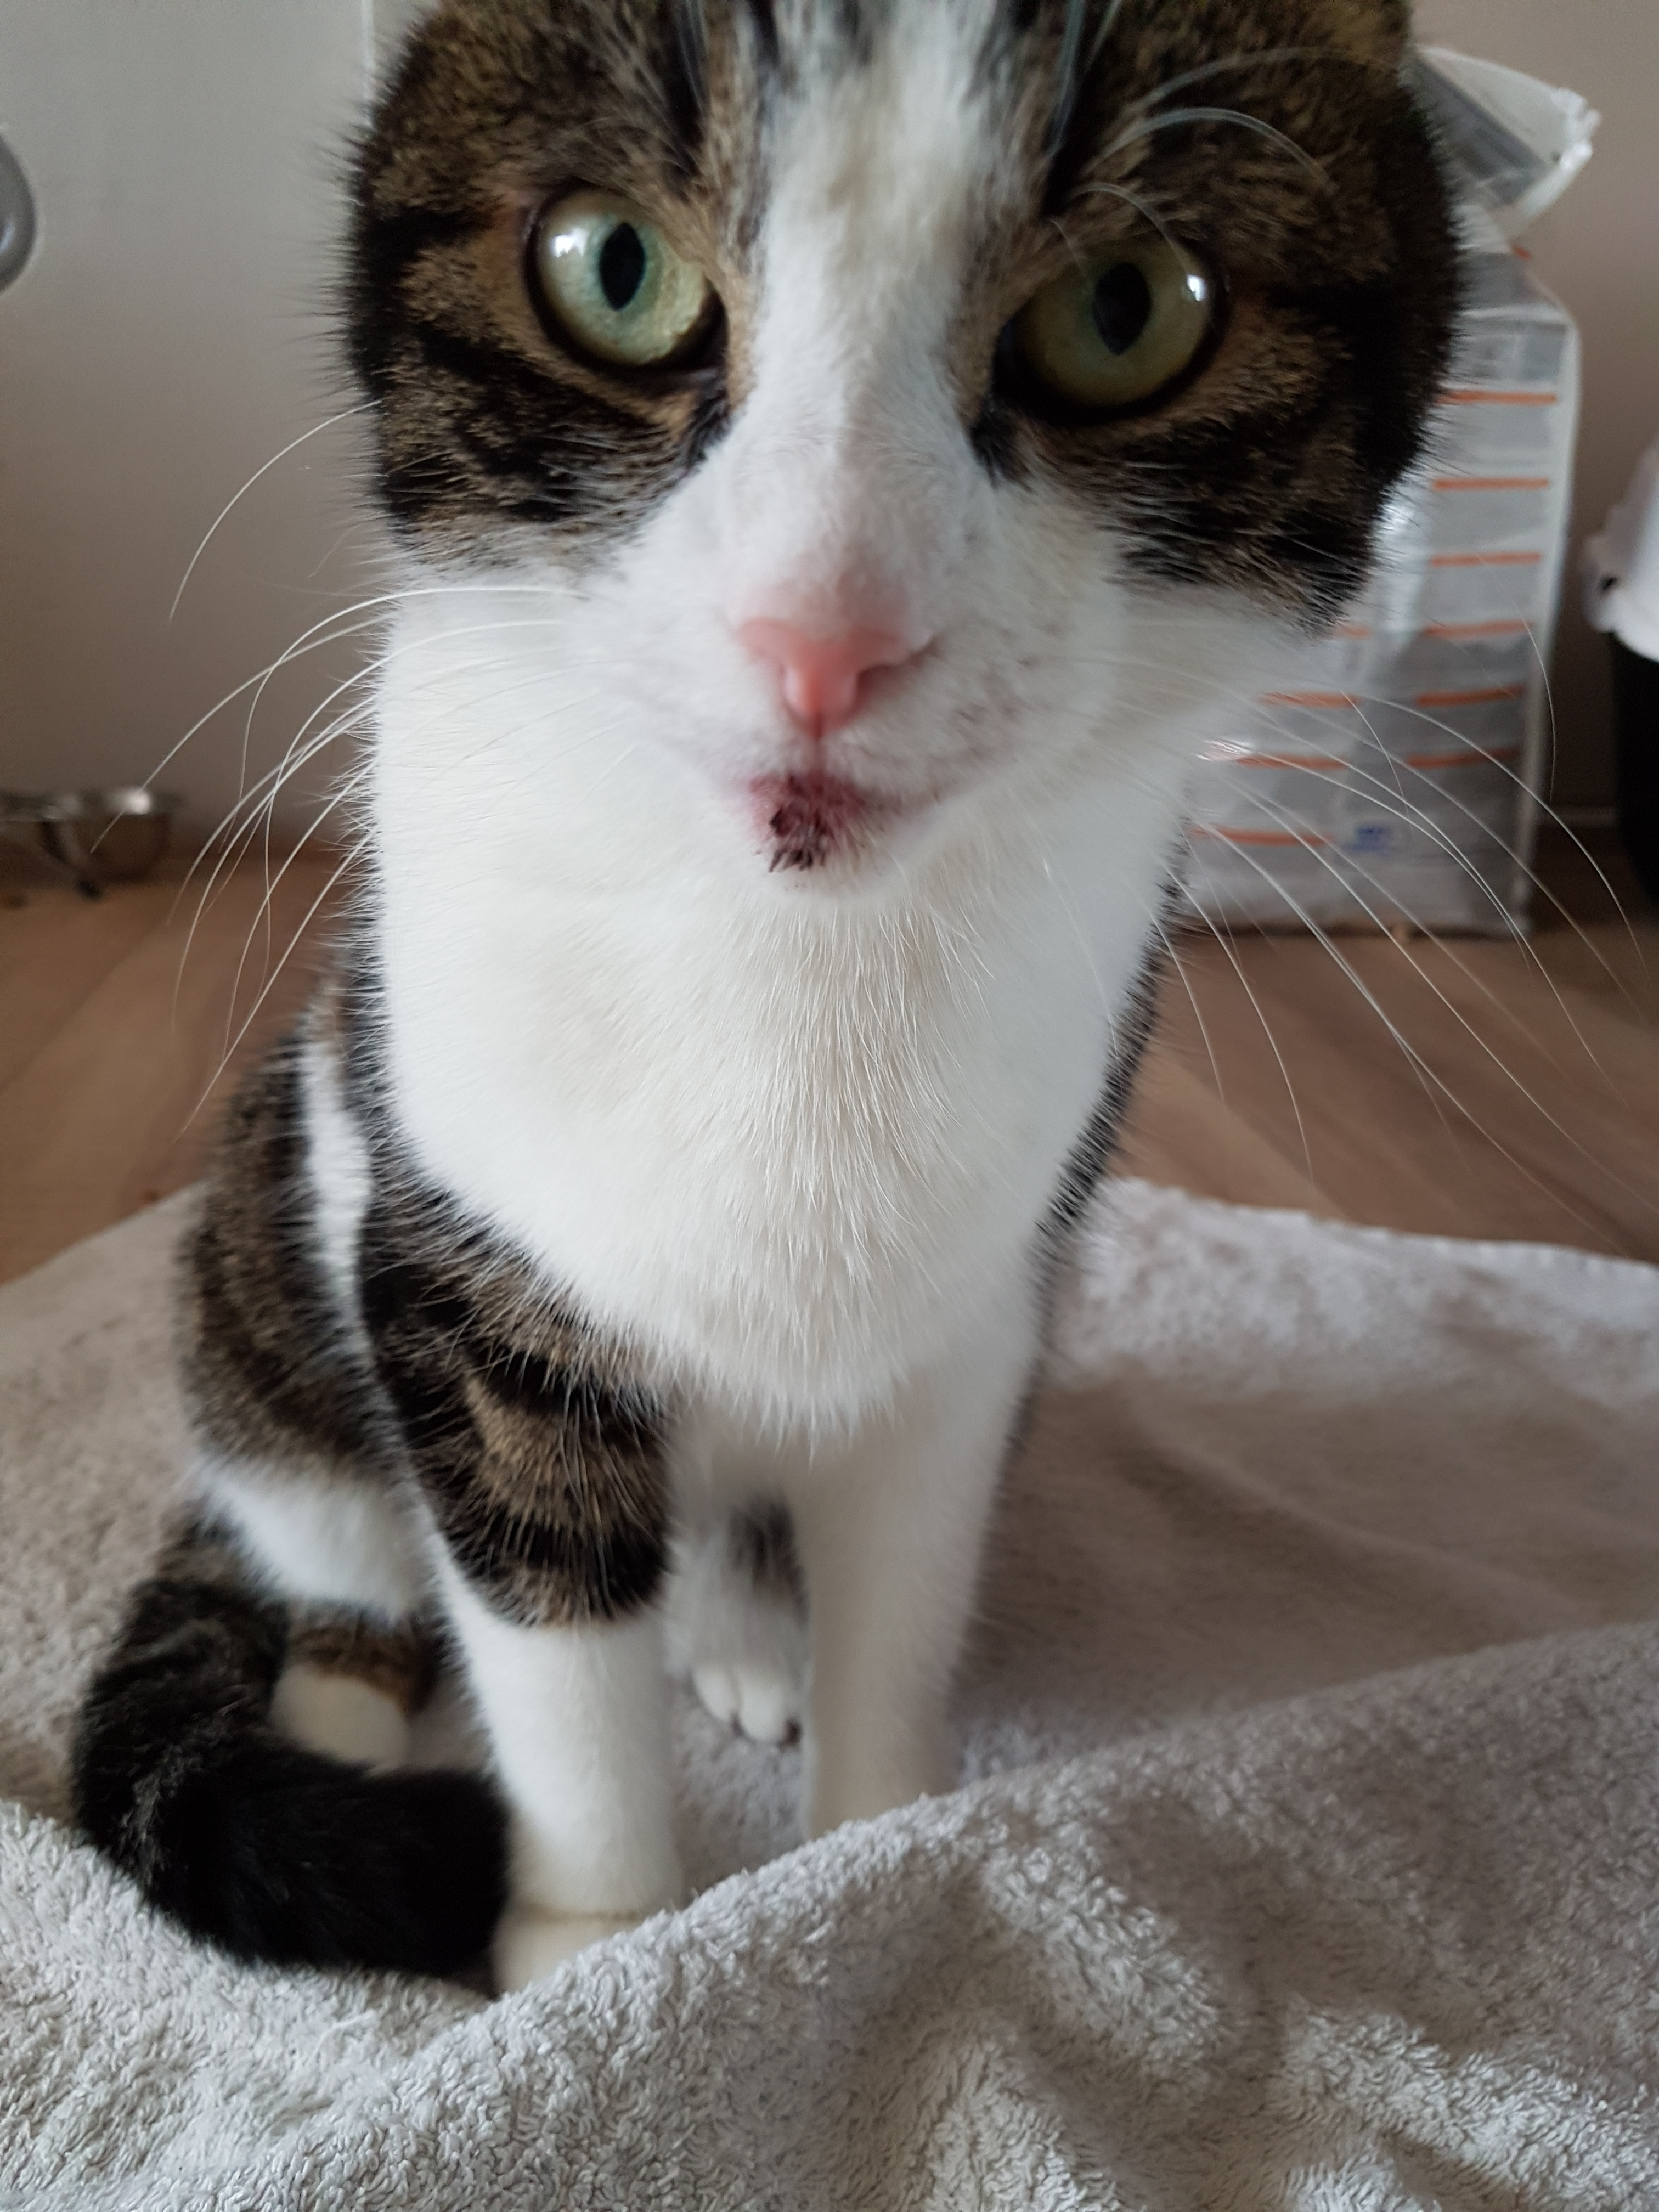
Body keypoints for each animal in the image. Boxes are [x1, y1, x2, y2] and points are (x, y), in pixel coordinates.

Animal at [71, 0, 1460, 1990]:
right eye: (610, 269)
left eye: (1128, 310)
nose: (823, 633)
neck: (794, 958)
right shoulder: (458, 1251)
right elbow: (545, 1626)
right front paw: (591, 1943)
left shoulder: (981, 1305)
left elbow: (904, 1572)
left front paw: (872, 1856)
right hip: (275, 1212)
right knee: (322, 1522)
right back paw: (341, 1701)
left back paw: (736, 1633)